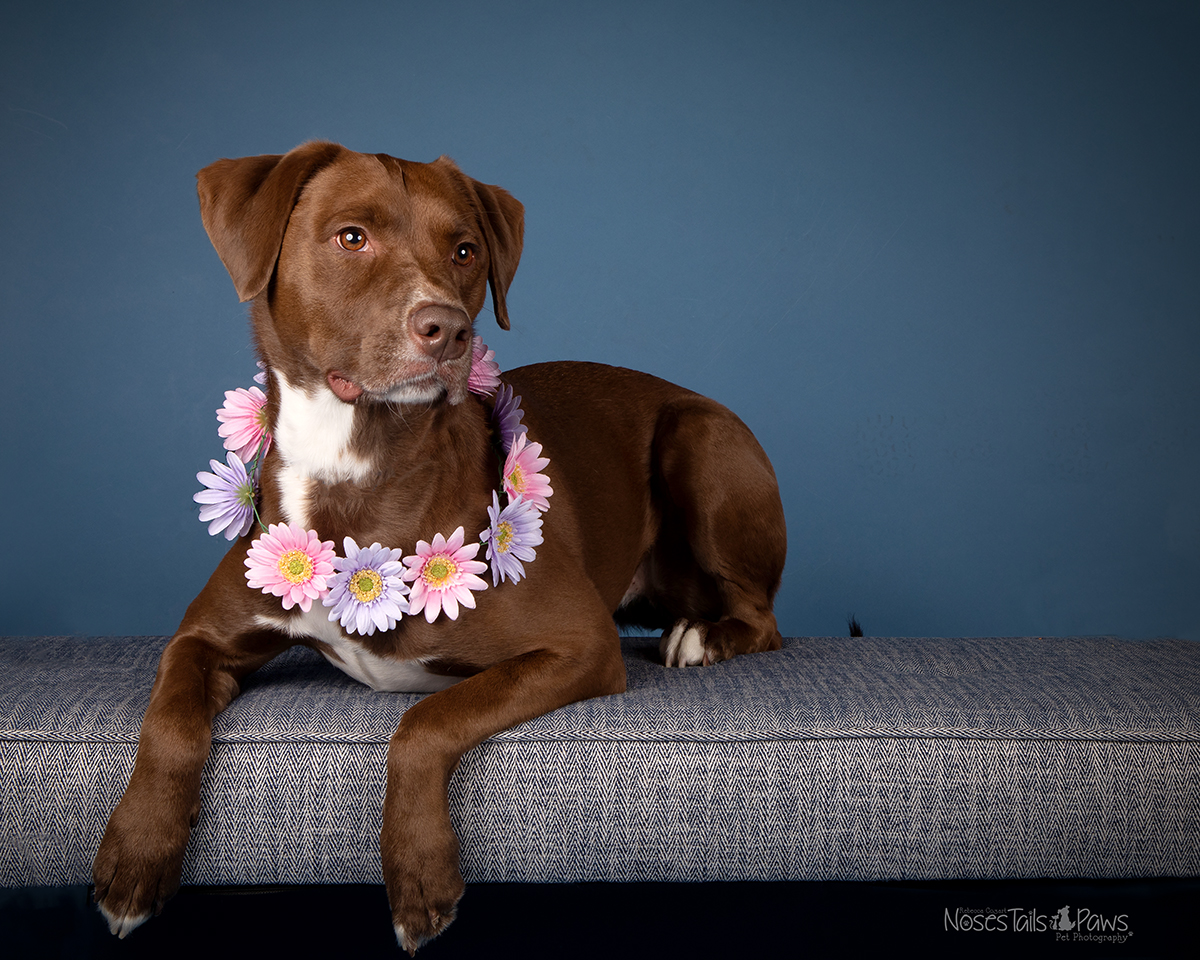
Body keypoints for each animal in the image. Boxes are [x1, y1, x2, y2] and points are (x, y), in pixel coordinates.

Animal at [92, 141, 787, 953]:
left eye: (465, 250)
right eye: (351, 237)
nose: (446, 329)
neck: (355, 461)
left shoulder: (578, 646)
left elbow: (425, 721)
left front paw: (419, 874)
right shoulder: (205, 636)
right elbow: (169, 715)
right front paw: (134, 857)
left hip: (700, 437)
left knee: (762, 617)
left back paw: (702, 637)